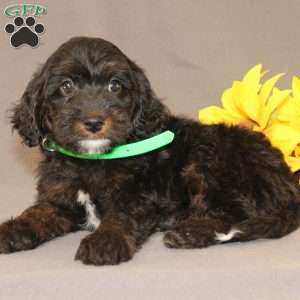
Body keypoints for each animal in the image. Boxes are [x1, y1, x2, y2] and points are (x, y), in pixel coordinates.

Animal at [0, 37, 300, 264]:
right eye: (66, 86)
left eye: (115, 85)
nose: (94, 122)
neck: (92, 161)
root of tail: (288, 181)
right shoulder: (60, 199)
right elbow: (38, 213)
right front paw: (13, 230)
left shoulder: (140, 194)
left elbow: (122, 214)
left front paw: (106, 240)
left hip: (211, 160)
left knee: (230, 213)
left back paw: (189, 233)